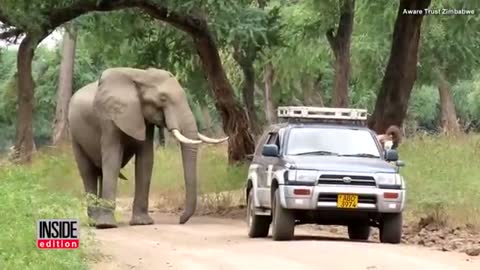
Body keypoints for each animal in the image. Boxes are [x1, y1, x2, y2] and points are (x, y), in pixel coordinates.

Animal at [67, 67, 229, 228]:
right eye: (163, 99)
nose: (180, 220)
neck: (141, 75)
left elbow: (146, 160)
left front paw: (142, 223)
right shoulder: (109, 118)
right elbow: (112, 160)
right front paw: (107, 226)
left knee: (99, 172)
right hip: (75, 136)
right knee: (88, 172)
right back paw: (95, 223)